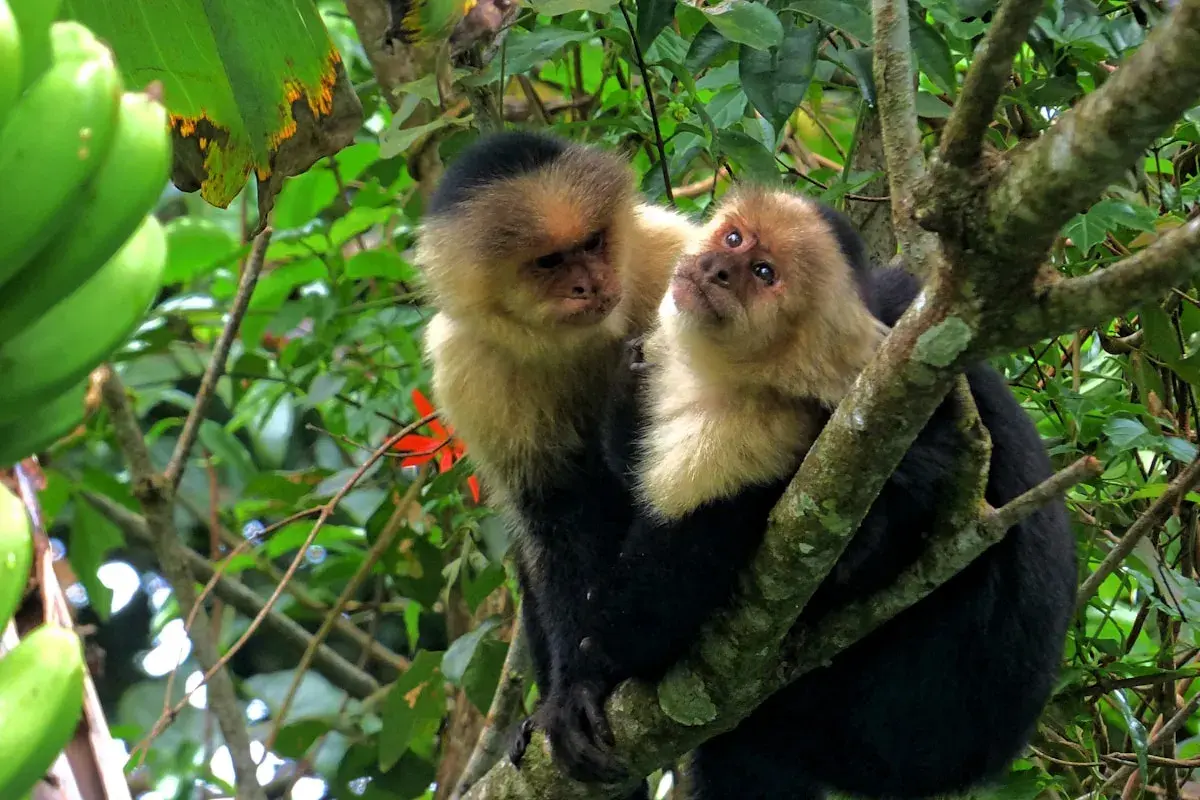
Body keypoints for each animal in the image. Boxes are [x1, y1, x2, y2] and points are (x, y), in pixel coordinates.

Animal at [413, 130, 698, 793]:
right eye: (549, 263)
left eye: (591, 244)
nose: (589, 284)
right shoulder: (467, 368)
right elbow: (556, 519)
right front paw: (571, 694)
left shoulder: (668, 258)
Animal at [543, 185, 1077, 800]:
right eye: (734, 238)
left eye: (764, 272)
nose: (718, 268)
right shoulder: (901, 304)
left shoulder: (753, 432)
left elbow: (650, 621)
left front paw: (585, 679)